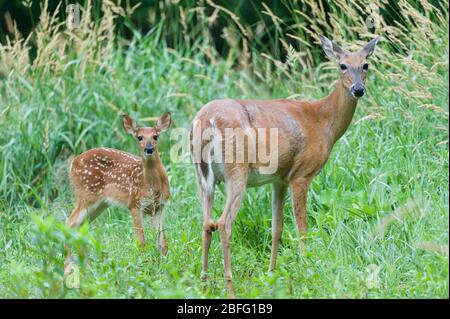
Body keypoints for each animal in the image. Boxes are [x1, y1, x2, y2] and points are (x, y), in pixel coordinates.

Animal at [65, 112, 172, 278]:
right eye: (139, 137)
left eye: (156, 136)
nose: (149, 149)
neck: (152, 186)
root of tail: (73, 163)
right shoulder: (134, 203)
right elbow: (142, 242)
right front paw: (144, 270)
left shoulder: (158, 207)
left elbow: (162, 243)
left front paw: (165, 268)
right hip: (86, 196)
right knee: (69, 224)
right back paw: (69, 266)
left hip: (100, 204)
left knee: (79, 227)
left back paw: (86, 266)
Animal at [190, 35, 380, 298]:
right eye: (342, 65)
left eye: (365, 65)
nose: (358, 89)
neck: (323, 121)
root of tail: (206, 120)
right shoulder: (301, 174)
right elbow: (302, 228)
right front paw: (306, 269)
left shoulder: (279, 179)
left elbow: (277, 227)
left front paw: (271, 275)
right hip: (236, 170)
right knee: (224, 223)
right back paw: (230, 289)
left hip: (203, 176)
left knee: (206, 223)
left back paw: (204, 285)